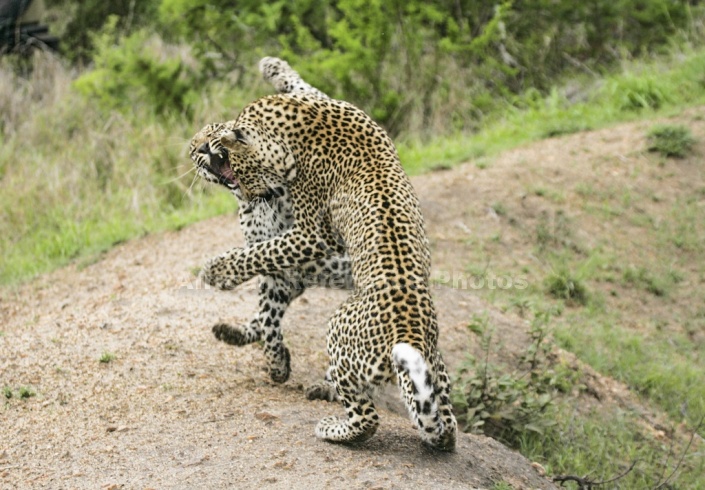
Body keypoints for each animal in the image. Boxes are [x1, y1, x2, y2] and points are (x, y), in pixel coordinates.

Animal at [190, 58, 352, 386]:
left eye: (214, 130)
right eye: (191, 148)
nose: (198, 148)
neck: (270, 199)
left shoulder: (312, 238)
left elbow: (261, 255)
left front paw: (218, 272)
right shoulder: (281, 277)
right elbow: (267, 318)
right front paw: (277, 364)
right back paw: (233, 332)